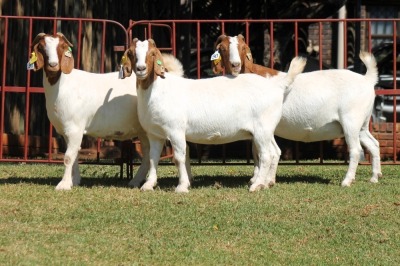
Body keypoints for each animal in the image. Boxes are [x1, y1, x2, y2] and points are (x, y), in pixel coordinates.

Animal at [27, 33, 150, 190]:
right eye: (42, 47)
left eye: (61, 47)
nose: (53, 65)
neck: (63, 84)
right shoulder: (67, 131)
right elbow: (75, 155)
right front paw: (74, 181)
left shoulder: (74, 128)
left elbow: (68, 157)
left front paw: (63, 185)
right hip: (143, 131)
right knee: (148, 153)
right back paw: (135, 181)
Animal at [120, 38, 304, 193]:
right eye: (131, 53)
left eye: (152, 53)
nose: (141, 69)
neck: (158, 90)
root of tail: (277, 86)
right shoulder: (155, 134)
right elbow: (152, 158)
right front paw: (148, 185)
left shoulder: (176, 130)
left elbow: (179, 158)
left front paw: (182, 187)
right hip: (266, 130)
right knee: (274, 151)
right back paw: (265, 183)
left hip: (262, 128)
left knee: (266, 154)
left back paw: (256, 185)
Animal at [212, 33, 382, 187]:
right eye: (223, 48)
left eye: (242, 47)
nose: (235, 65)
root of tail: (367, 79)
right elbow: (258, 151)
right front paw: (260, 179)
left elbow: (260, 151)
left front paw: (259, 180)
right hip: (362, 124)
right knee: (373, 144)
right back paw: (375, 177)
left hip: (350, 120)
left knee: (355, 149)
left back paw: (347, 181)